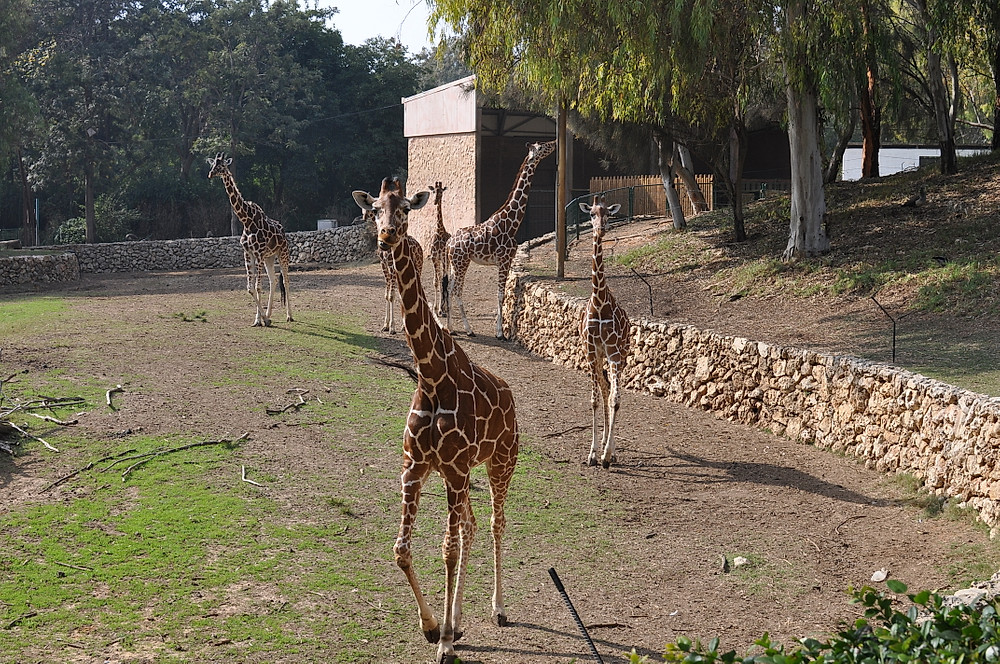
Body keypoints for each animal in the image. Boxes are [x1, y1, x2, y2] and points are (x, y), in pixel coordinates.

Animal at [207, 151, 292, 326]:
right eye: (212, 164)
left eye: (222, 165)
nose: (210, 174)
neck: (247, 221)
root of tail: (283, 232)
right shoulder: (248, 253)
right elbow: (250, 288)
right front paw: (259, 319)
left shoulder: (258, 253)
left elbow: (258, 287)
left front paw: (264, 319)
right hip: (269, 257)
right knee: (274, 280)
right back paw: (270, 314)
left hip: (282, 254)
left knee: (286, 280)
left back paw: (289, 316)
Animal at [352, 178, 520, 664]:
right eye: (374, 209)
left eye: (407, 208)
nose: (387, 236)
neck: (430, 374)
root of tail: (512, 398)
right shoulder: (417, 467)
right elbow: (402, 550)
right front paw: (433, 627)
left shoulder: (457, 469)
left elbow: (445, 550)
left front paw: (444, 642)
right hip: (459, 475)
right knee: (470, 527)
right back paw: (458, 617)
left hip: (501, 463)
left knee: (495, 524)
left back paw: (498, 608)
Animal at [446, 139, 556, 338]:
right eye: (542, 146)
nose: (554, 142)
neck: (512, 223)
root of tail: (448, 243)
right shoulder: (504, 260)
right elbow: (500, 294)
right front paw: (500, 332)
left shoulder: (508, 260)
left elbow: (504, 293)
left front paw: (504, 328)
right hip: (462, 263)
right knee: (456, 290)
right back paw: (469, 330)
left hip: (453, 263)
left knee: (449, 289)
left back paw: (451, 328)